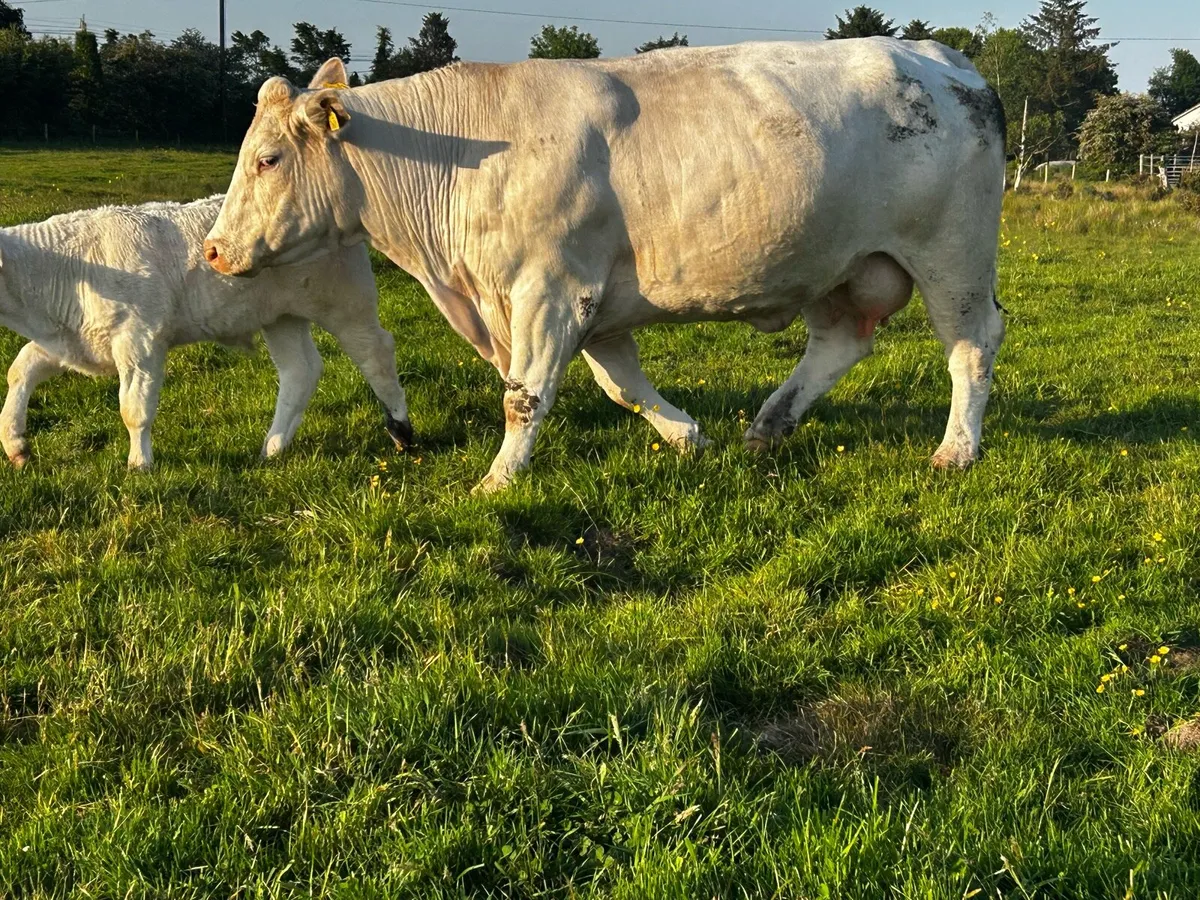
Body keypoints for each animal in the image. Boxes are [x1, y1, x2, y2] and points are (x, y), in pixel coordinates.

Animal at [0, 194, 412, 470]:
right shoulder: (70, 339)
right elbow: (20, 370)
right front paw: (15, 444)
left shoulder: (140, 340)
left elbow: (134, 409)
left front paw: (139, 464)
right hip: (281, 316)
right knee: (301, 370)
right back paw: (274, 447)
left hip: (346, 302)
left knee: (375, 351)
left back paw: (401, 429)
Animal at [204, 38, 1007, 492]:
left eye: (268, 158)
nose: (211, 250)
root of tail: (946, 59)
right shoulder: (590, 297)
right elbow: (620, 383)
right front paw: (687, 436)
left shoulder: (551, 290)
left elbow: (525, 394)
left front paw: (498, 478)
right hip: (841, 262)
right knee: (839, 342)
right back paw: (769, 425)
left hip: (953, 257)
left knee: (971, 346)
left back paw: (956, 451)